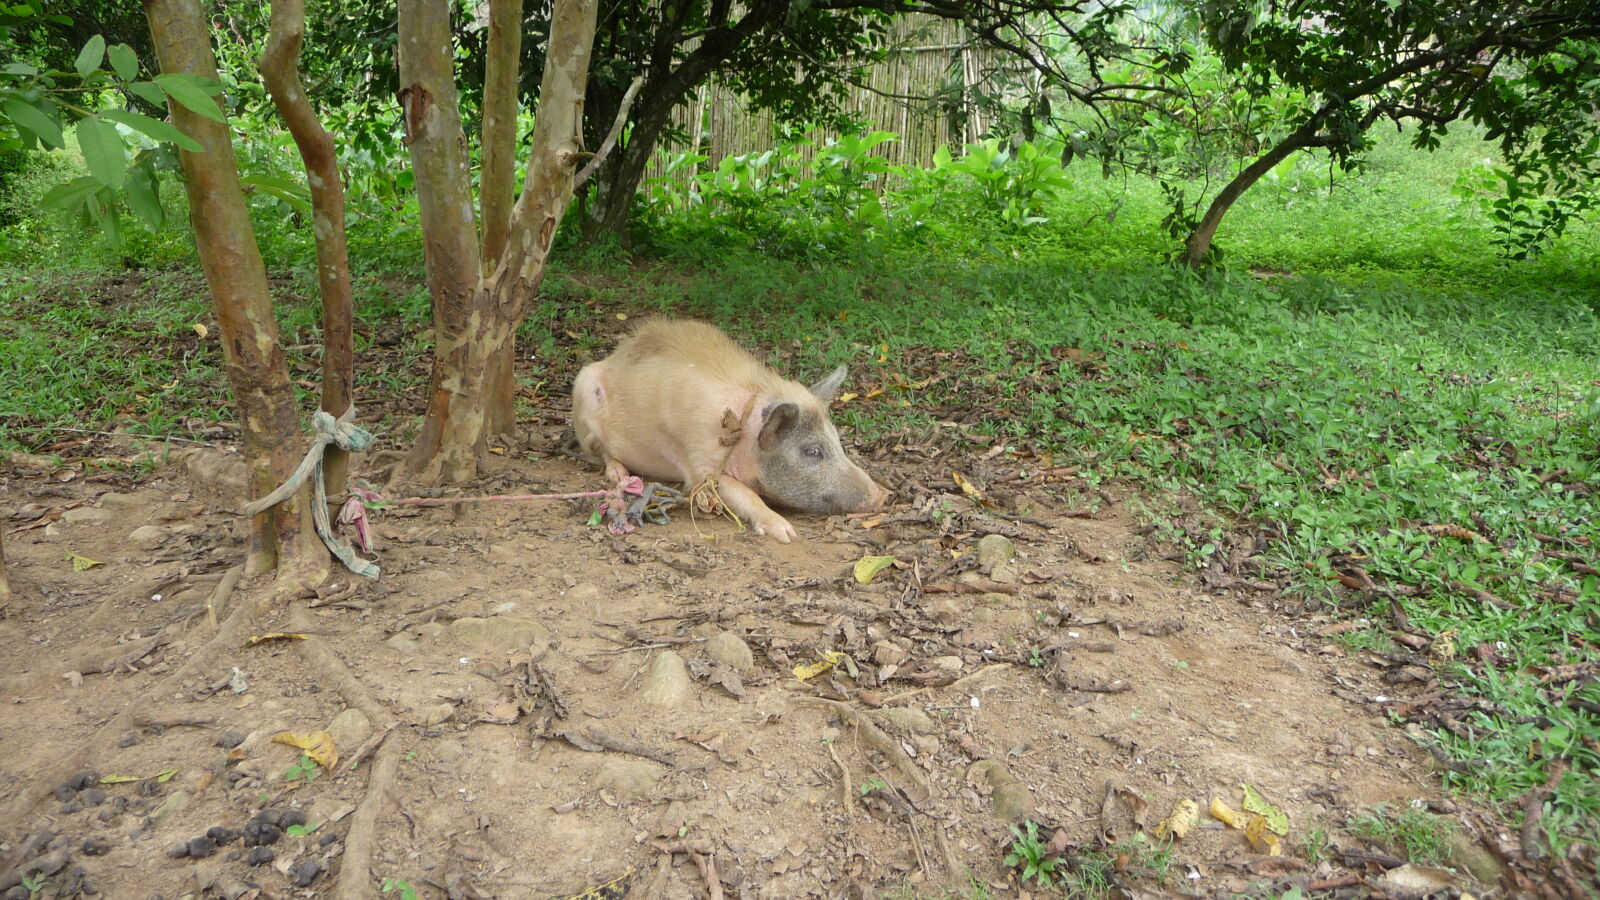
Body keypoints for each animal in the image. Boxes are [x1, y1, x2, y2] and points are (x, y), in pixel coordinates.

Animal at [571, 319, 889, 543]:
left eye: (838, 441)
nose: (883, 495)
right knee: (601, 454)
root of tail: (614, 356)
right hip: (582, 399)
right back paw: (619, 475)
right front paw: (787, 534)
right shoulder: (700, 468)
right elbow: (745, 494)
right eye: (812, 451)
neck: (743, 434)